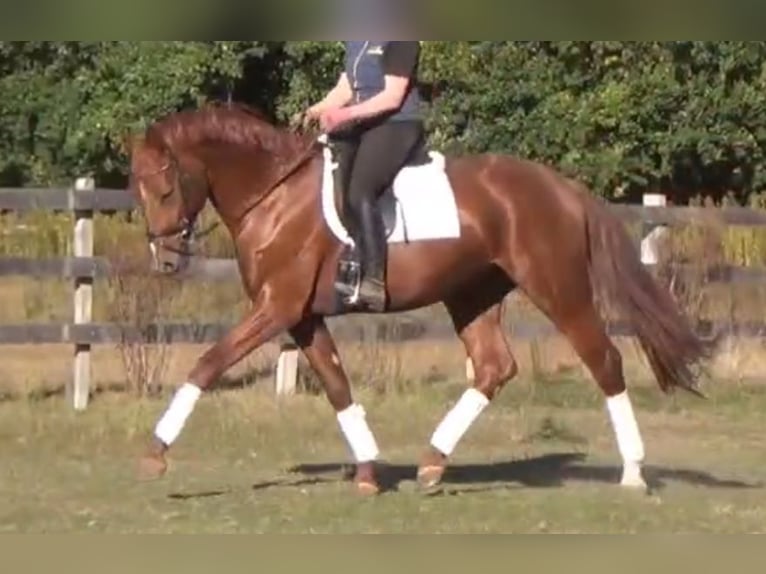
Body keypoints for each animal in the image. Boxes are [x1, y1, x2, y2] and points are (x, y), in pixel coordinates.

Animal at [126, 102, 715, 496]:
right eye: (139, 188)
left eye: (166, 187)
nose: (167, 261)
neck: (274, 195)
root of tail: (563, 188)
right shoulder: (302, 317)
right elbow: (337, 384)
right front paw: (368, 471)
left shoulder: (277, 308)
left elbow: (207, 363)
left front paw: (154, 454)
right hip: (472, 294)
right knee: (494, 367)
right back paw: (432, 463)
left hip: (558, 289)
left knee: (604, 361)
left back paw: (633, 473)